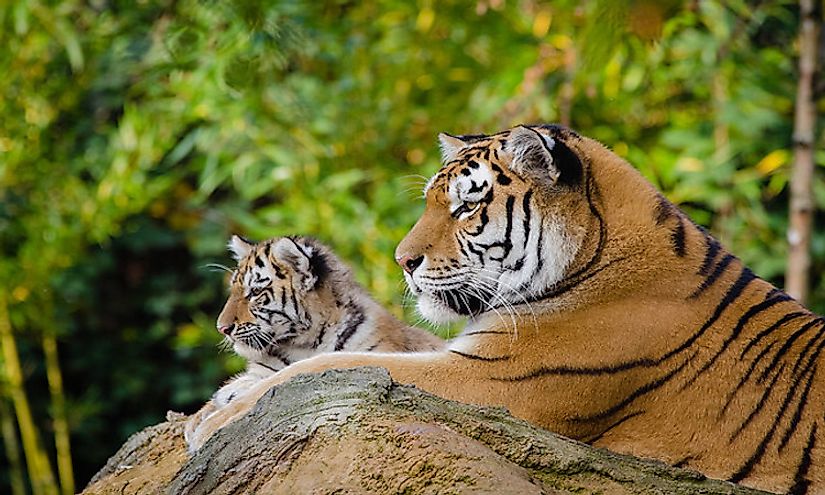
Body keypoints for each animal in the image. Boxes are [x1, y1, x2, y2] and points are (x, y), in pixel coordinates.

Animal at [192, 126, 816, 494]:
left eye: (466, 205)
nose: (402, 260)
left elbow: (325, 367)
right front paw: (225, 398)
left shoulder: (492, 379)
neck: (595, 257)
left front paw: (214, 422)